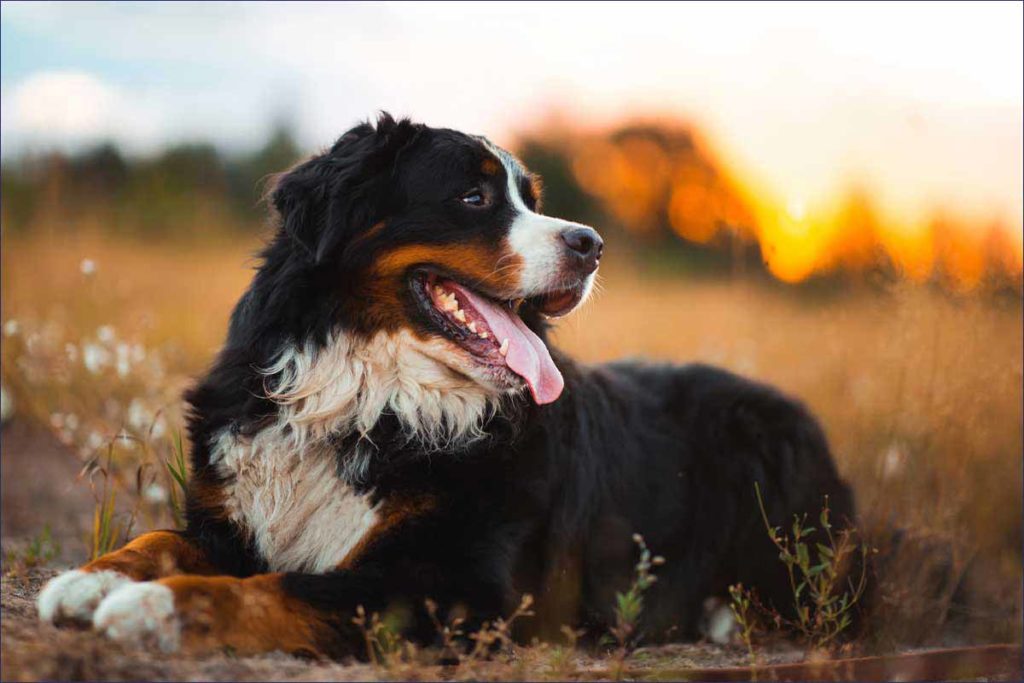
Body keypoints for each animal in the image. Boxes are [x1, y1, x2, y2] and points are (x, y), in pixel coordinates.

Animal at [37, 114, 856, 659]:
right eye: (473, 198)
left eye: (530, 198)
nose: (591, 244)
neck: (368, 398)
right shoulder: (230, 518)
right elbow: (158, 538)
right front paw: (88, 581)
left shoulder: (455, 582)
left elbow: (279, 588)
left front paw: (155, 609)